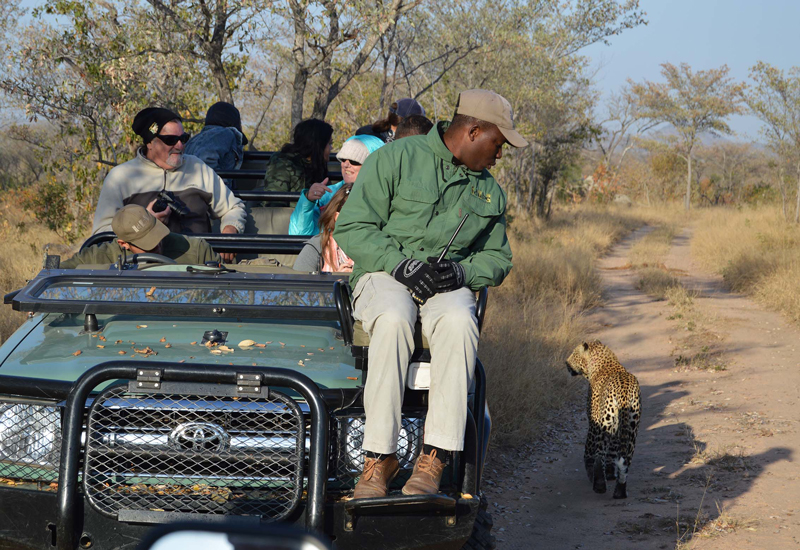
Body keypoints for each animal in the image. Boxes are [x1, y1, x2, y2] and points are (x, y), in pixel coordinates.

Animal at [564, 340, 640, 500]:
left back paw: (598, 484)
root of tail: (624, 394)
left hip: (605, 422)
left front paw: (592, 472)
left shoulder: (593, 421)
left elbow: (590, 450)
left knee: (599, 453)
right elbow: (612, 453)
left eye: (574, 353)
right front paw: (610, 473)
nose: (566, 362)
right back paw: (620, 491)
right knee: (625, 459)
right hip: (631, 426)